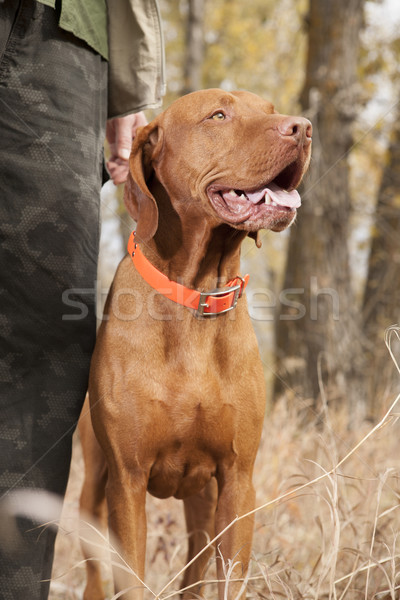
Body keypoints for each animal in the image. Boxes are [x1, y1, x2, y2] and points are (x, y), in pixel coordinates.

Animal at [79, 90, 310, 600]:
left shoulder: (237, 481)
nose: (303, 128)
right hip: (93, 487)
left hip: (202, 503)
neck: (195, 297)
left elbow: (227, 578)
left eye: (270, 109)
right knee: (95, 569)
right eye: (218, 115)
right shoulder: (127, 481)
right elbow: (130, 578)